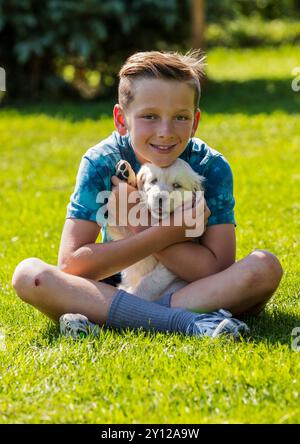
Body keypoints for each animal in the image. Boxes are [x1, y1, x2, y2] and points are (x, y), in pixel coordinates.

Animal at [106, 158, 205, 300]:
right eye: (153, 181)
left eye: (177, 185)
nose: (159, 198)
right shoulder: (125, 234)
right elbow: (116, 223)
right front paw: (127, 175)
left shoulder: (170, 267)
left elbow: (148, 283)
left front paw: (135, 295)